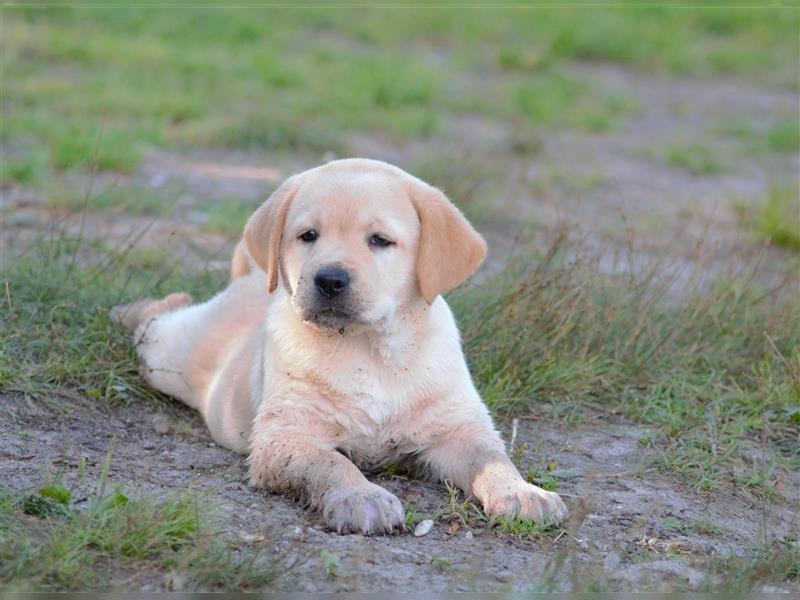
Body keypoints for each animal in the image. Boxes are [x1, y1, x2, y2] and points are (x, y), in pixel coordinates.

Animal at [115, 159, 568, 536]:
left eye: (380, 240)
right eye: (308, 236)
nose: (329, 279)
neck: (369, 349)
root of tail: (250, 278)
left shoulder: (456, 427)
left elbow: (492, 459)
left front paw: (522, 492)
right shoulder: (288, 435)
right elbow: (332, 462)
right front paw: (361, 497)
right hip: (167, 353)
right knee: (159, 314)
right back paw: (125, 309)